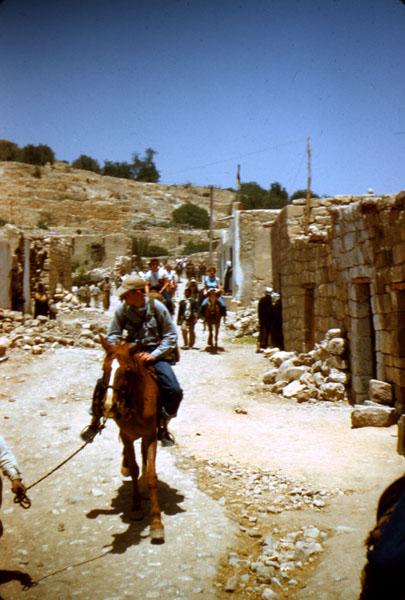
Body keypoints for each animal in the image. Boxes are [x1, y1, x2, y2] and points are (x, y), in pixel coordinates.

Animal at [98, 338, 163, 544]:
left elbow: (151, 475)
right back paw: (125, 466)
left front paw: (156, 522)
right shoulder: (126, 435)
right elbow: (134, 469)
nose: (109, 406)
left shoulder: (150, 436)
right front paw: (135, 506)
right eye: (104, 368)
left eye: (127, 371)